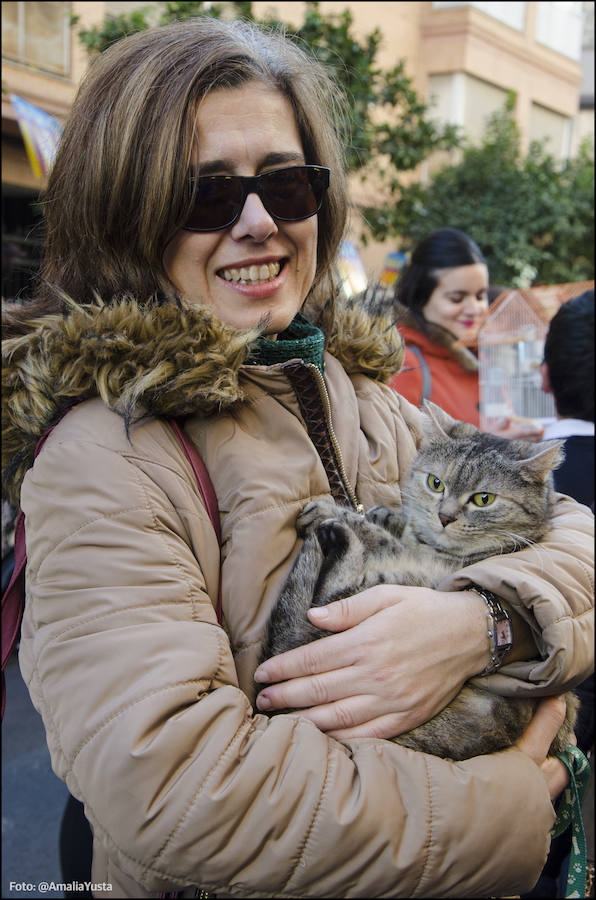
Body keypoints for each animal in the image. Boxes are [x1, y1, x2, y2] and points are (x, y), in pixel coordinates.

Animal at [260, 400, 576, 760]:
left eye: (483, 499)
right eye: (436, 483)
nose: (445, 516)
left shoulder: (424, 561)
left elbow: (378, 535)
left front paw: (338, 512)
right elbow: (395, 523)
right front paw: (385, 514)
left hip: (394, 581)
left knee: (329, 592)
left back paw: (335, 536)